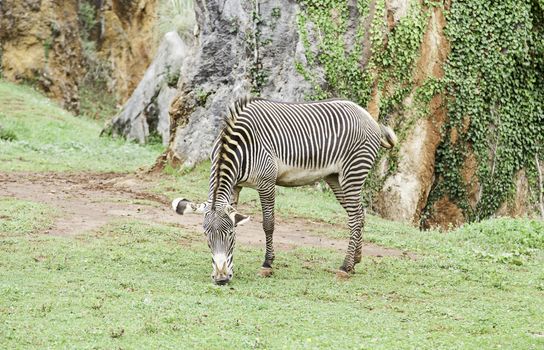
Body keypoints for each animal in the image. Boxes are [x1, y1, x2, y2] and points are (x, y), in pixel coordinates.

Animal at [172, 96, 398, 284]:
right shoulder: (235, 186)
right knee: (358, 214)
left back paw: (345, 267)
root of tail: (367, 115)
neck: (239, 147)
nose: (220, 279)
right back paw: (355, 261)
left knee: (355, 218)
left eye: (228, 234)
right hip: (335, 177)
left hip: (353, 172)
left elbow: (268, 224)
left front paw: (267, 264)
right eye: (206, 236)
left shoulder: (266, 183)